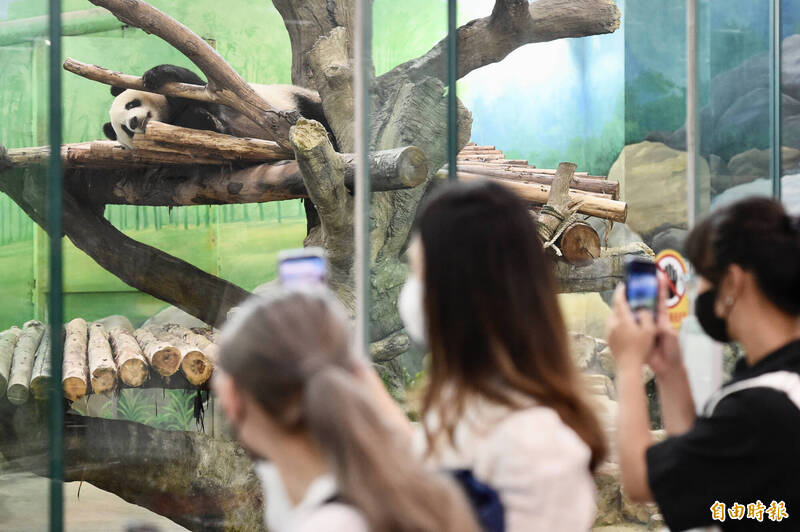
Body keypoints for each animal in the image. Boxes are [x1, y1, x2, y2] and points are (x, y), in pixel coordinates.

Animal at [104, 66, 334, 152]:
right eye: (124, 128)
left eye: (131, 104)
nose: (133, 122)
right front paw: (206, 120)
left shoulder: (215, 95)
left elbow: (194, 84)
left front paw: (155, 75)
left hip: (294, 98)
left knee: (315, 112)